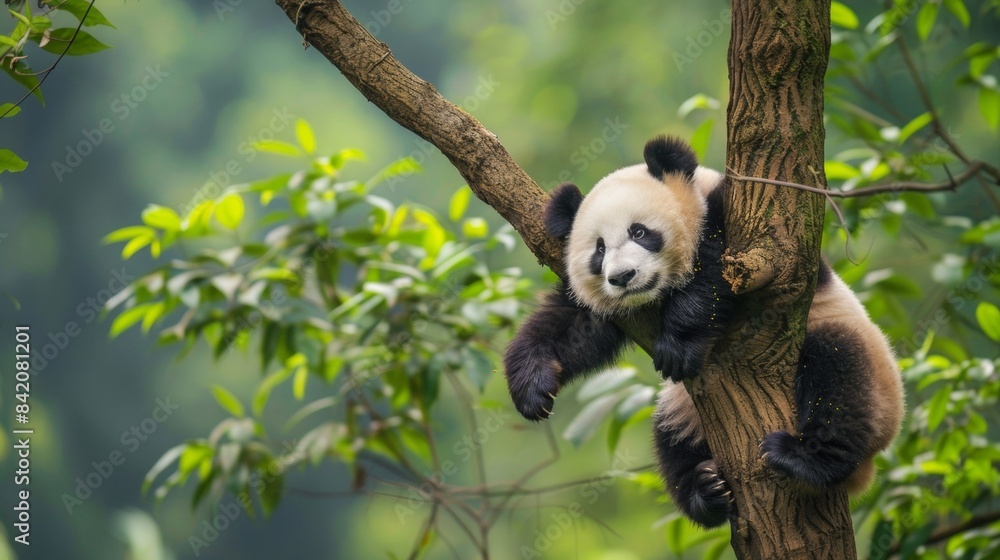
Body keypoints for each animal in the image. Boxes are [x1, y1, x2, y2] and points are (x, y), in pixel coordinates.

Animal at [503, 135, 905, 527]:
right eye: (599, 250)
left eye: (639, 231)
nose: (622, 277)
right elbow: (573, 327)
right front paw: (533, 387)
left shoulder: (741, 231)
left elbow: (714, 275)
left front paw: (678, 346)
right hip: (680, 406)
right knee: (670, 438)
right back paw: (705, 492)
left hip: (871, 374)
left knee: (838, 374)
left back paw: (802, 458)